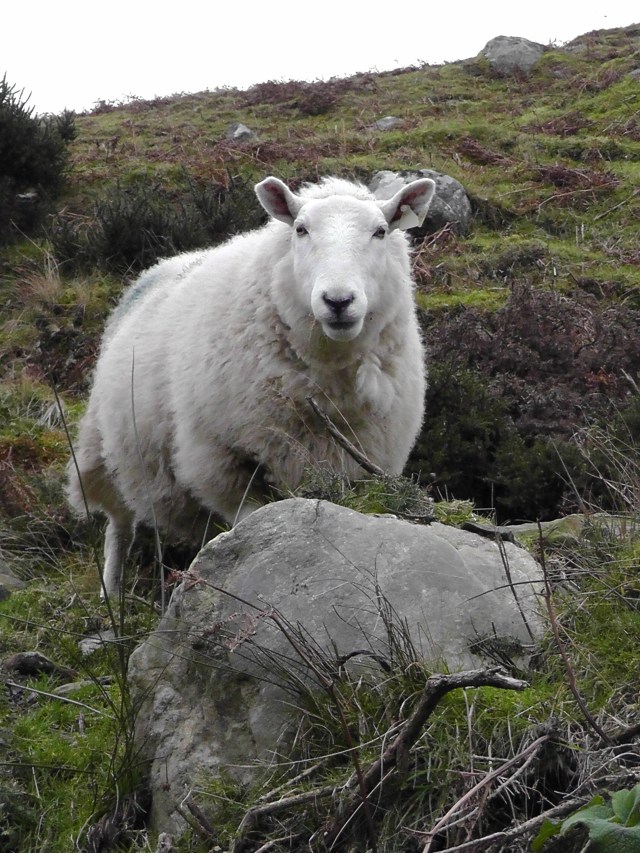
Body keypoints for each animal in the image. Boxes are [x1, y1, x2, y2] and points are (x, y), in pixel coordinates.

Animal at [67, 174, 435, 597]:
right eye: (300, 229)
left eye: (380, 231)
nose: (338, 301)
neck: (328, 378)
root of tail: (163, 264)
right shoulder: (218, 460)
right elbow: (250, 526)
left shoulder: (359, 469)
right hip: (106, 450)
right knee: (119, 527)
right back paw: (110, 599)